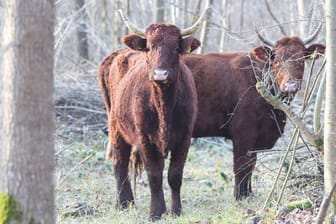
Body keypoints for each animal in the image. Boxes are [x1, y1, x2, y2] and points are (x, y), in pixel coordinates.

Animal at [98, 9, 206, 220]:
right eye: (148, 48)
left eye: (176, 49)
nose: (160, 74)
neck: (164, 105)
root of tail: (119, 53)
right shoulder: (144, 139)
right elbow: (154, 174)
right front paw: (156, 212)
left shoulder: (184, 138)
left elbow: (174, 174)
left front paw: (175, 210)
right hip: (115, 126)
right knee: (120, 162)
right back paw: (123, 203)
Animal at [184, 26, 326, 200]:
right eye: (276, 61)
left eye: (301, 60)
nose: (290, 86)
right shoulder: (243, 133)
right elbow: (242, 166)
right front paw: (240, 196)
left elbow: (251, 165)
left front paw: (249, 193)